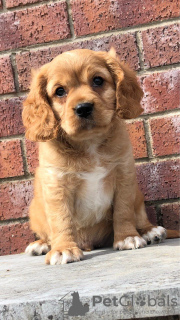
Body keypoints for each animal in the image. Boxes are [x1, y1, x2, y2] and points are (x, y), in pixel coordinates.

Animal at [22, 48, 179, 264]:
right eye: (60, 91)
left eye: (98, 80)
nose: (83, 108)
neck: (89, 143)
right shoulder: (57, 185)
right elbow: (61, 219)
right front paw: (63, 249)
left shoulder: (123, 176)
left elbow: (123, 210)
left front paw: (127, 237)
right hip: (35, 210)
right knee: (47, 232)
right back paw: (42, 244)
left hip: (138, 195)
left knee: (138, 215)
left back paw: (150, 231)